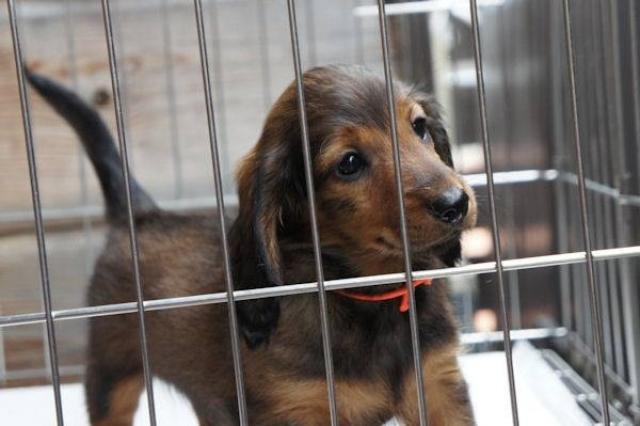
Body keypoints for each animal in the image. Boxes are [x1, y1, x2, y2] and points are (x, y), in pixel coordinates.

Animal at [28, 64, 477, 425]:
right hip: (111, 376)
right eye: (349, 163)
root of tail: (138, 215)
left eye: (419, 127)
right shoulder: (295, 408)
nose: (456, 204)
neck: (370, 296)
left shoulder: (439, 385)